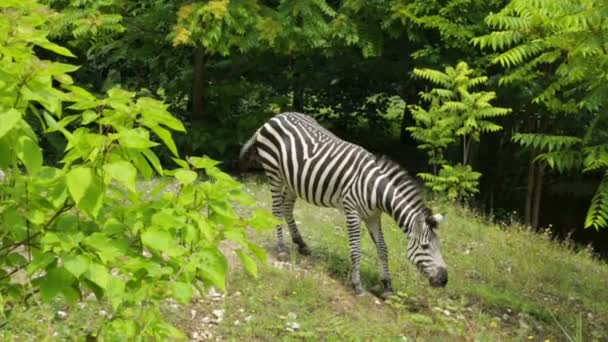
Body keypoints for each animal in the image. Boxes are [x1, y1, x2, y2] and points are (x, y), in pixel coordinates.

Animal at [240, 111, 448, 294]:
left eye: (439, 246)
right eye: (425, 247)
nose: (444, 280)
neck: (375, 190)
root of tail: (273, 118)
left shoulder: (373, 217)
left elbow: (382, 248)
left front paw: (387, 285)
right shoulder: (352, 212)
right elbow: (356, 250)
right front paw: (357, 285)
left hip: (292, 180)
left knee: (286, 208)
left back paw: (301, 243)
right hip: (274, 173)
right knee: (276, 209)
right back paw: (282, 248)